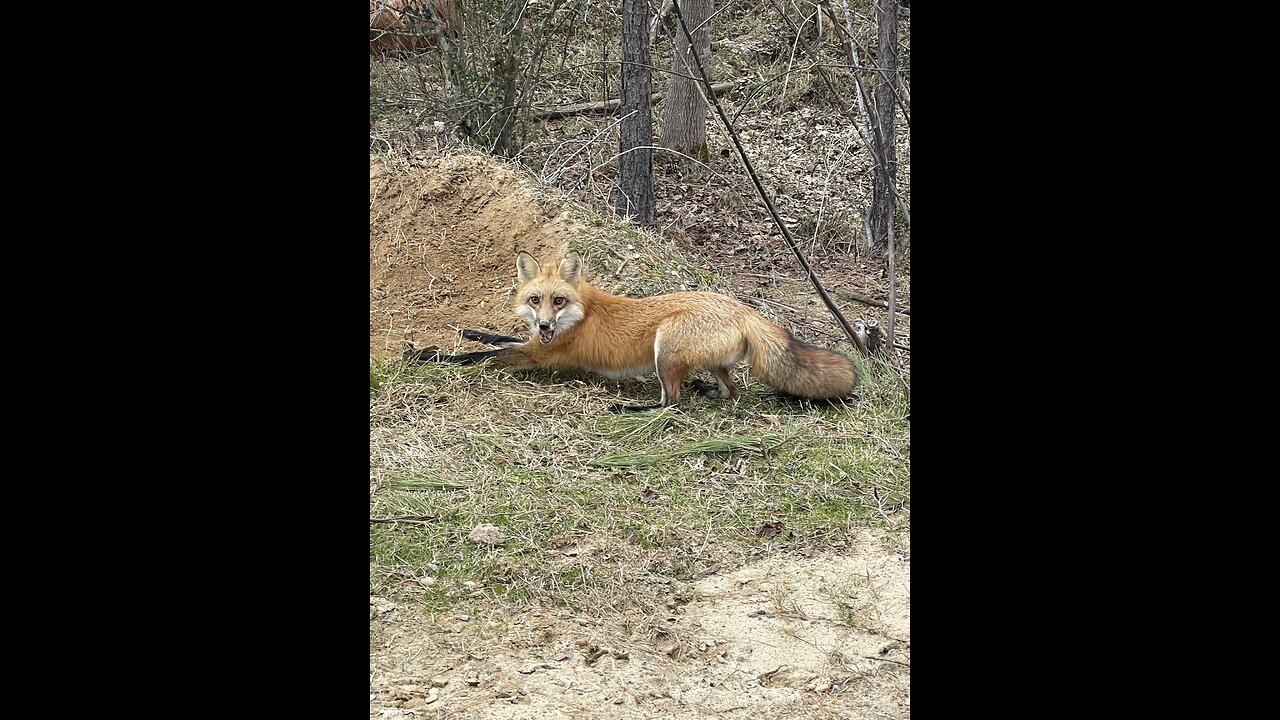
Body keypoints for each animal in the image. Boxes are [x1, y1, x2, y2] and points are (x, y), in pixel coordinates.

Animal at [404, 252, 855, 409]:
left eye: (558, 301)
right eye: (535, 301)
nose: (546, 323)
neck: (579, 314)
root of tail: (741, 306)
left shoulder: (539, 354)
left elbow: (481, 357)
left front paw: (427, 355)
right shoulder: (536, 343)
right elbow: (494, 339)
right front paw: (466, 331)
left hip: (665, 347)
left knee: (671, 403)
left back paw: (629, 408)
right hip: (703, 361)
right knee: (729, 390)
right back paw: (707, 390)